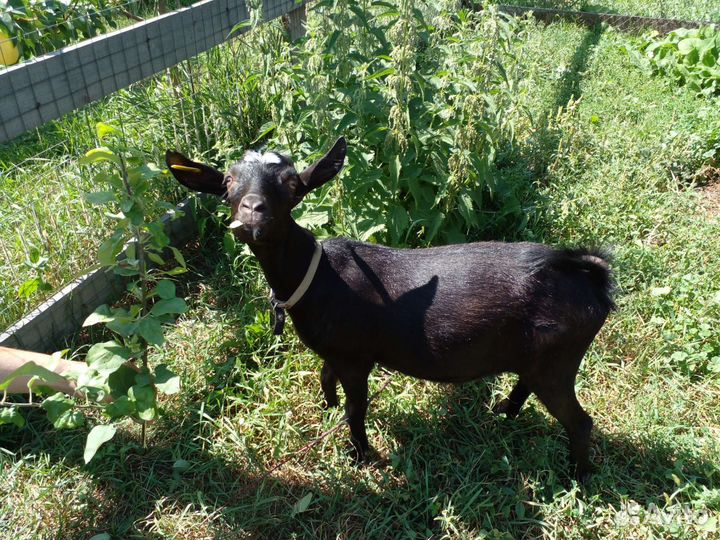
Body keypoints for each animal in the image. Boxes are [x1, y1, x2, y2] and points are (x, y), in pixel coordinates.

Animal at [166, 137, 614, 481]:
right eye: (228, 182)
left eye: (292, 185)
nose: (252, 214)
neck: (317, 276)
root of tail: (584, 273)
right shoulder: (336, 351)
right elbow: (326, 380)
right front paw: (326, 410)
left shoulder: (355, 356)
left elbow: (356, 408)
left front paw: (360, 456)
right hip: (539, 356)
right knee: (527, 383)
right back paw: (505, 412)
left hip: (559, 360)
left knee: (579, 421)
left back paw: (576, 476)